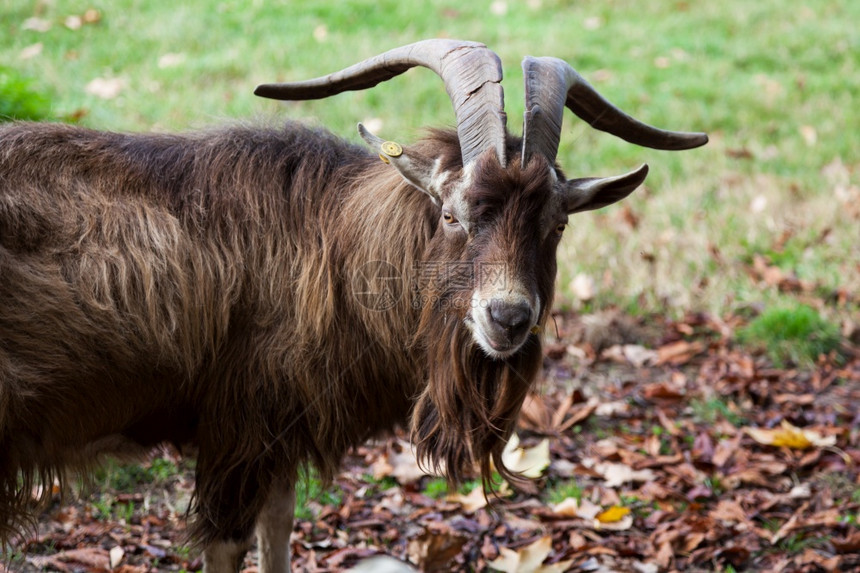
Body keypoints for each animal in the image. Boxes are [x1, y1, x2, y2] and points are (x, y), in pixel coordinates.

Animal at [0, 38, 704, 568]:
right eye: (451, 214)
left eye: (556, 226)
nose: (507, 319)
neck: (327, 236)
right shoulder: (237, 428)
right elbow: (229, 542)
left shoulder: (277, 430)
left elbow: (278, 529)